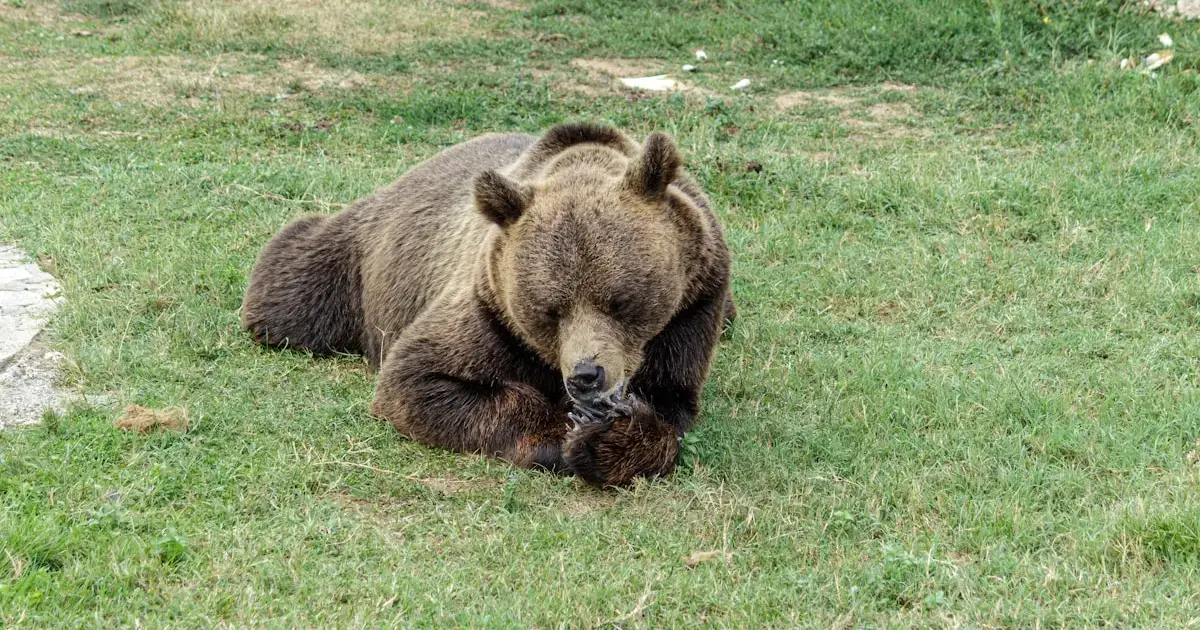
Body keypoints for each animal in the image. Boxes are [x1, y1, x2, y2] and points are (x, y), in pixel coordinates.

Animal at [241, 122, 734, 486]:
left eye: (620, 301)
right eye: (549, 310)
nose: (585, 375)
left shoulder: (693, 307)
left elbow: (670, 404)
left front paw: (609, 435)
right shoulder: (489, 309)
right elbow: (419, 380)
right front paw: (566, 432)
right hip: (359, 259)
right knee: (293, 290)